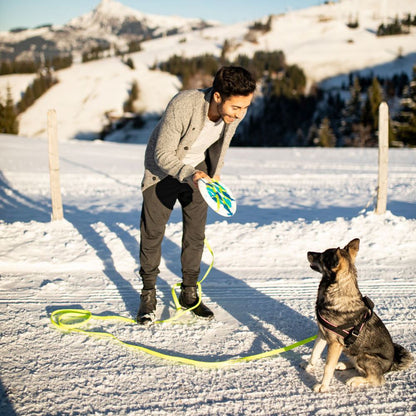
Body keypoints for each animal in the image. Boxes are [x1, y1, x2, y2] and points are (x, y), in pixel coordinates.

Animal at [302, 239, 412, 392]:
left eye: (322, 256)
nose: (308, 252)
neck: (337, 292)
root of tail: (390, 365)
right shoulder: (322, 334)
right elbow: (314, 353)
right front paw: (308, 367)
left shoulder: (335, 344)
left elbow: (328, 367)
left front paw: (323, 386)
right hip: (352, 351)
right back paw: (343, 364)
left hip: (364, 356)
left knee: (377, 379)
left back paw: (355, 380)